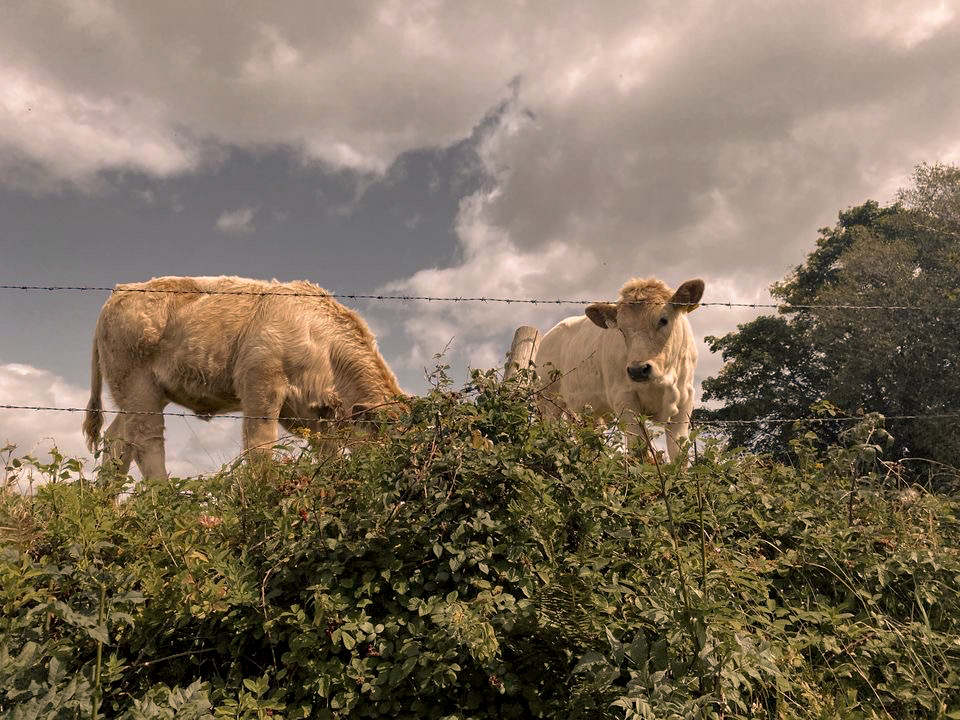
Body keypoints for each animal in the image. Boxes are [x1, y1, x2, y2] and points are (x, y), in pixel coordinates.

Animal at [83, 276, 404, 478]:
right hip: (138, 389)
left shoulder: (313, 415)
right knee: (146, 443)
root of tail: (121, 291)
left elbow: (329, 456)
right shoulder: (261, 387)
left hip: (136, 395)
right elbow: (260, 449)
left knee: (117, 442)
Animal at [533, 277, 704, 463]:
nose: (638, 370)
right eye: (621, 328)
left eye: (663, 320)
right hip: (547, 399)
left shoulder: (685, 400)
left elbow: (679, 454)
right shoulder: (624, 399)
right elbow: (639, 450)